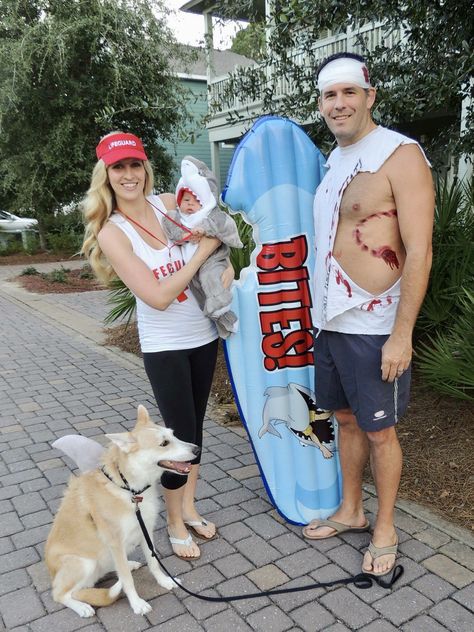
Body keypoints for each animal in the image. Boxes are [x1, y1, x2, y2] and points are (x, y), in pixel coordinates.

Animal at [44, 404, 198, 616]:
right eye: (164, 443)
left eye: (173, 435)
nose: (197, 449)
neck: (130, 489)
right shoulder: (115, 542)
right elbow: (127, 580)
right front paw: (136, 603)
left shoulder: (145, 530)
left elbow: (153, 562)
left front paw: (165, 581)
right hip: (84, 563)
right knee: (60, 594)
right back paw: (82, 607)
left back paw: (129, 565)